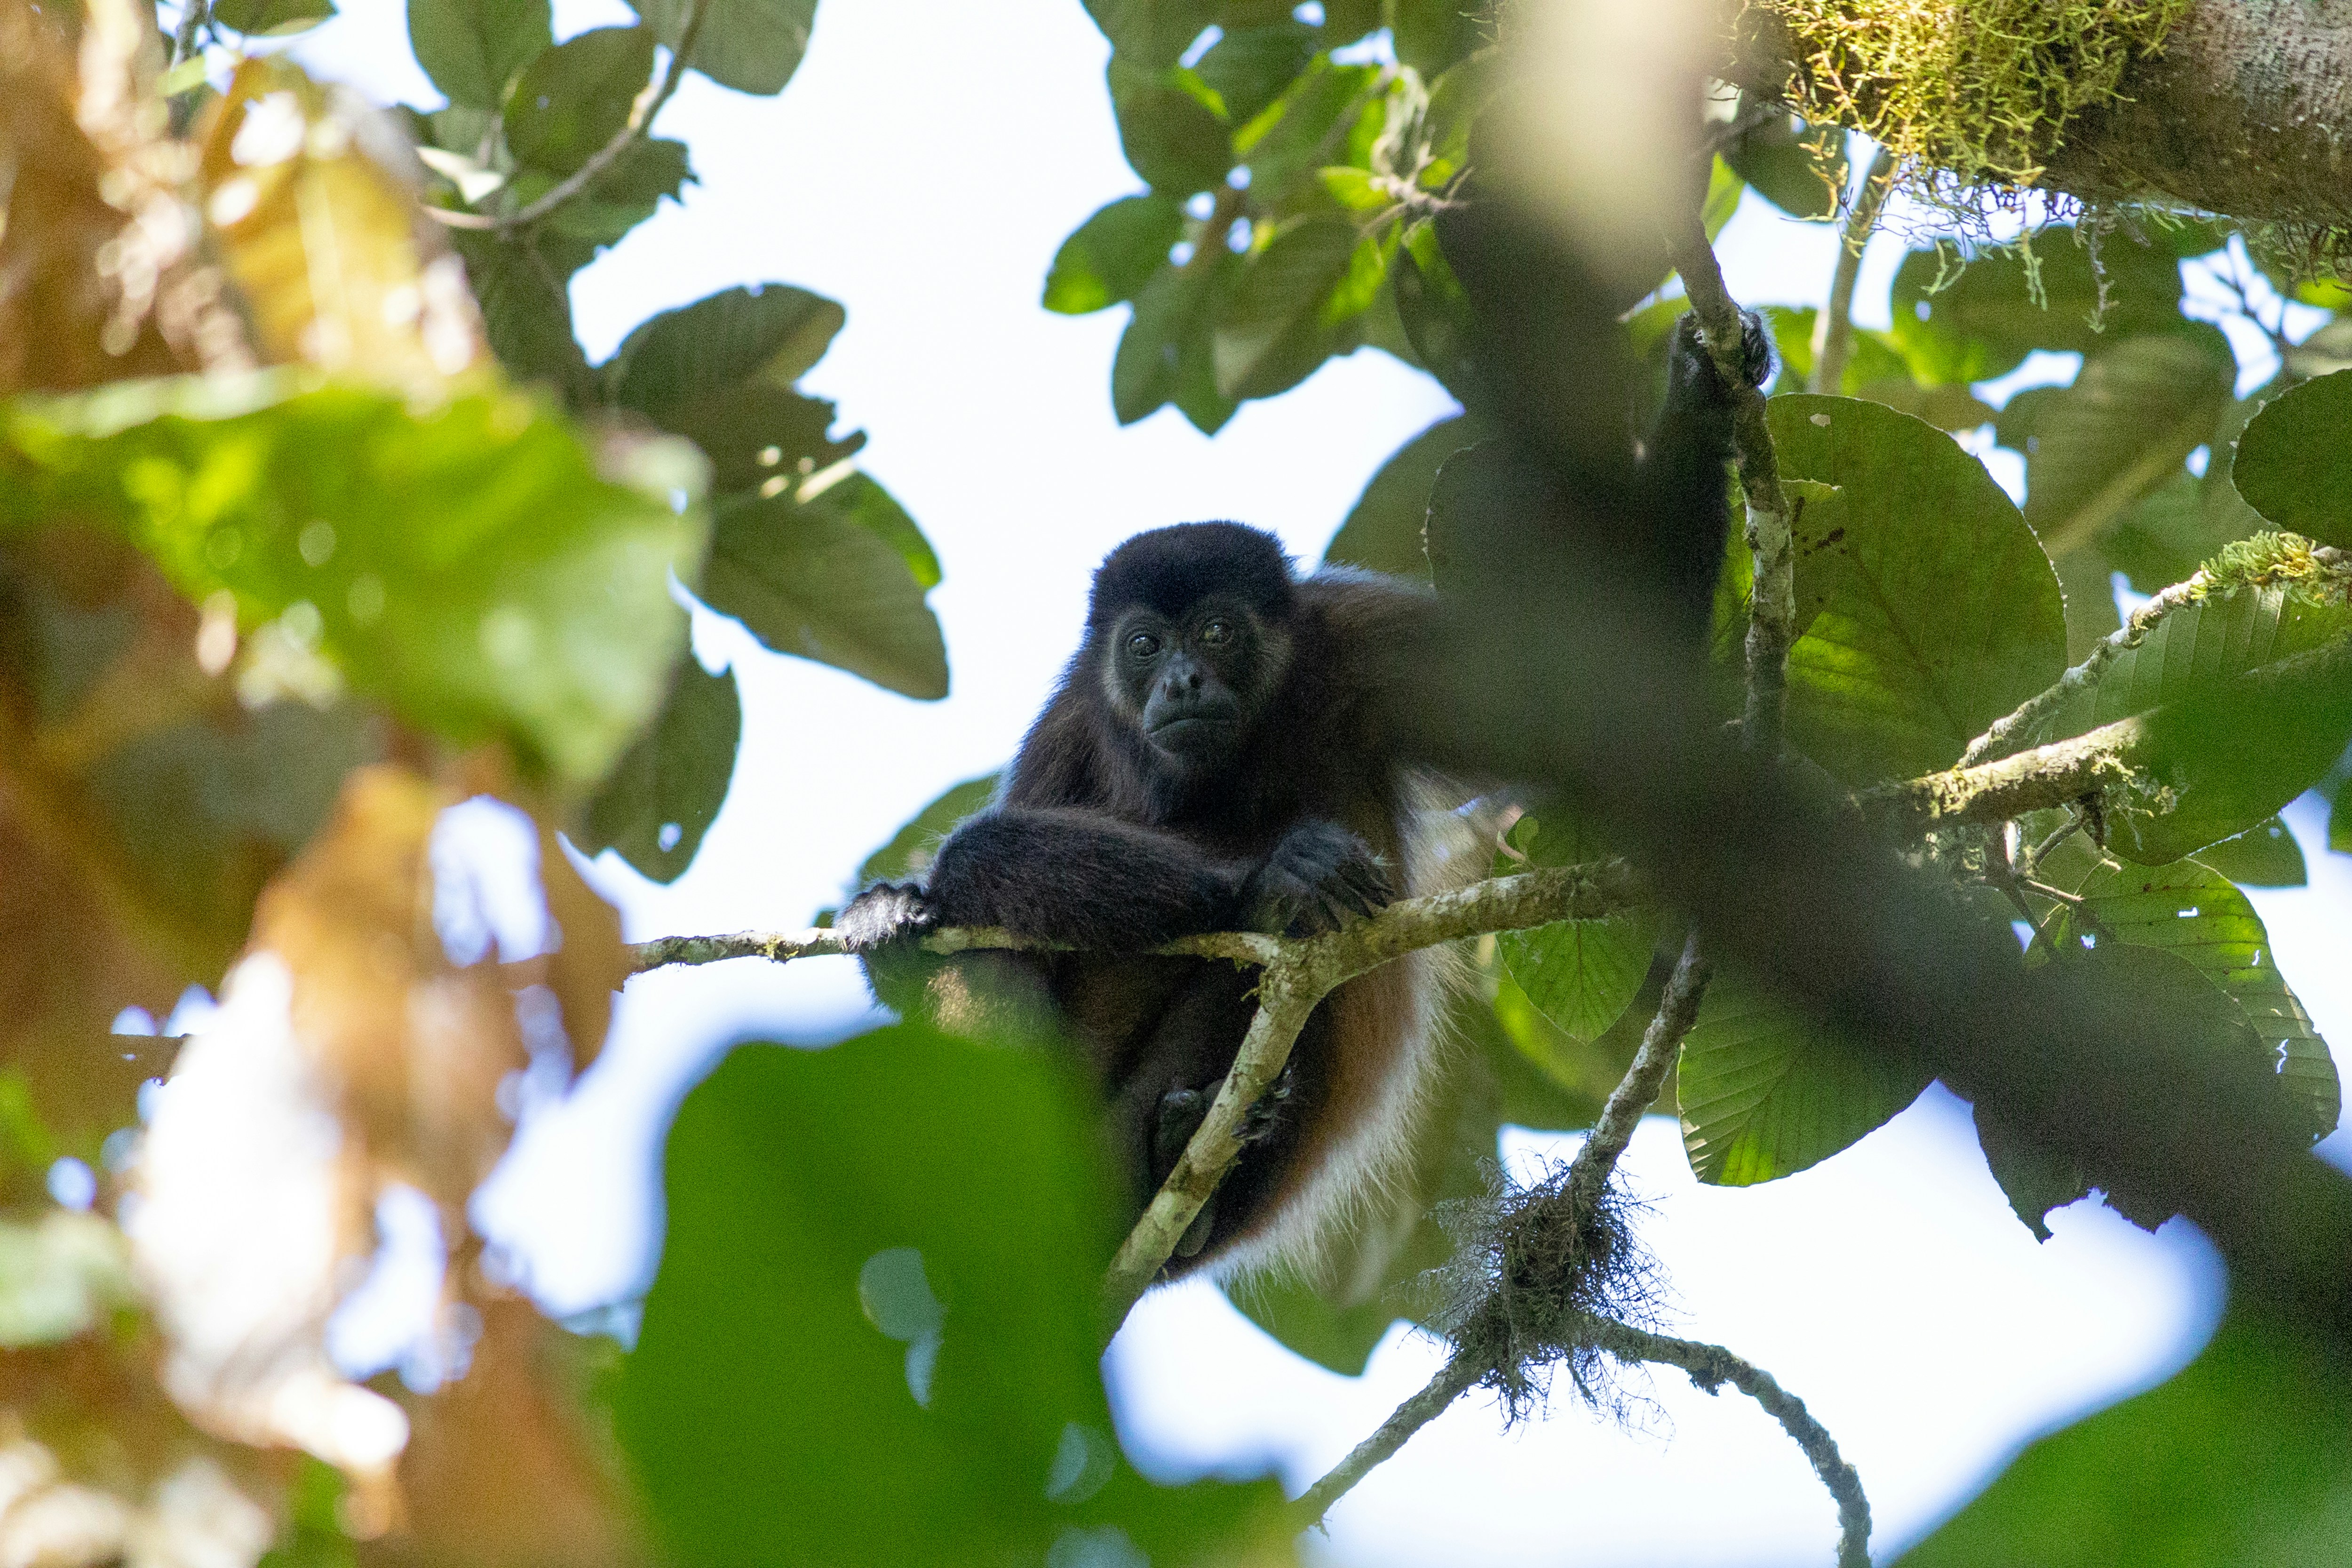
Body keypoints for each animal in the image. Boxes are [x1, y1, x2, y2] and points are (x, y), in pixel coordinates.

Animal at [837, 308, 1772, 1283]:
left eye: (1217, 630)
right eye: (1144, 645)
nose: (1180, 681)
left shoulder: (1363, 643)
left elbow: (1580, 709)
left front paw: (1700, 392)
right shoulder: (1073, 722)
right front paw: (1266, 879)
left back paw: (1173, 1159)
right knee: (987, 939)